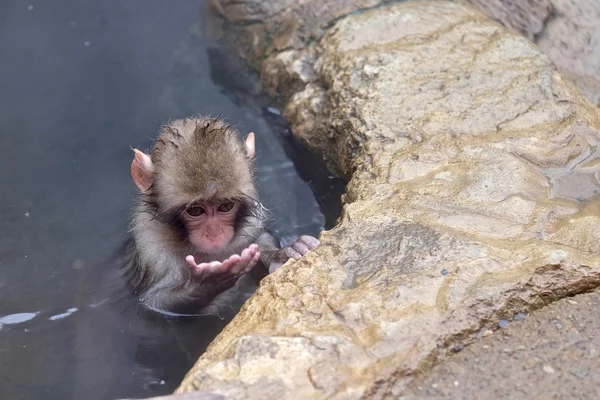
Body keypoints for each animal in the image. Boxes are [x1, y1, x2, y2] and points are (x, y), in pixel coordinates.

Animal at [125, 117, 318, 314]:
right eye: (195, 210)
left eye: (225, 206)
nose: (214, 233)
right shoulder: (153, 251)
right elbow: (151, 303)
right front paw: (210, 280)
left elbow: (261, 238)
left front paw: (283, 252)